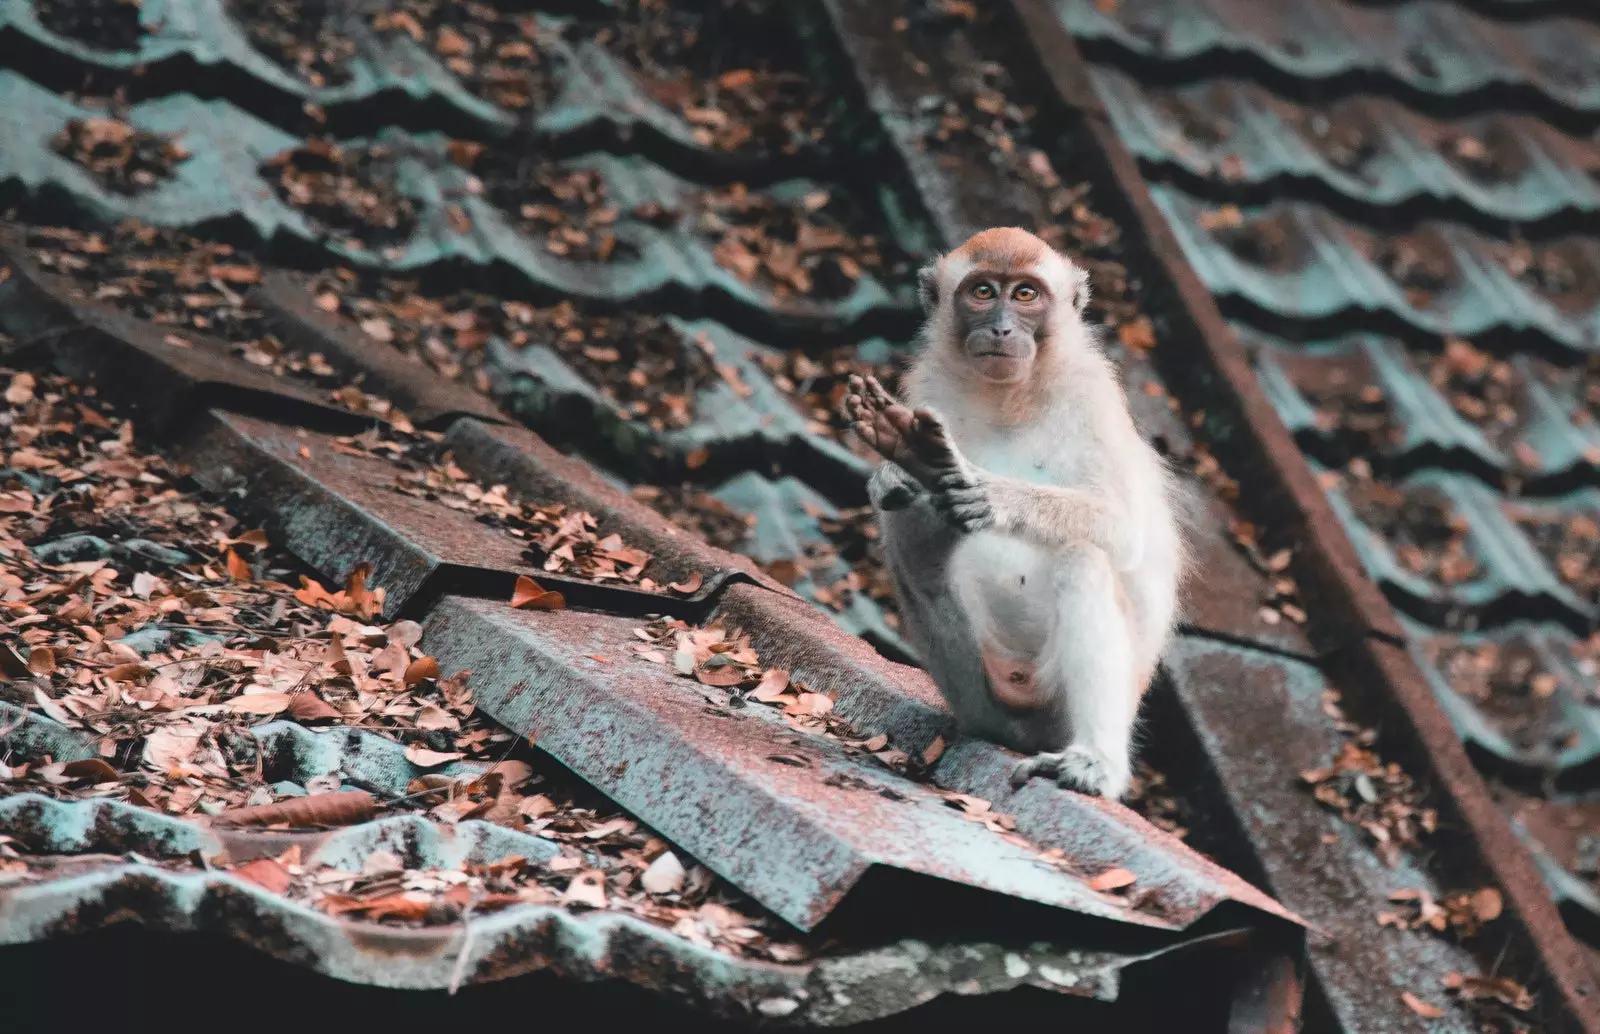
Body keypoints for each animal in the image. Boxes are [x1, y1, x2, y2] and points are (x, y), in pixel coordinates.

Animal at [844, 227, 1184, 803]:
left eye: (1025, 295)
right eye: (983, 292)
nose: (1002, 327)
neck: (1010, 396)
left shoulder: (1092, 393)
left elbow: (1123, 530)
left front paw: (984, 491)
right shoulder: (928, 386)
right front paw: (904, 469)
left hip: (1055, 704)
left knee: (1083, 562)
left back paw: (1096, 761)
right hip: (975, 690)